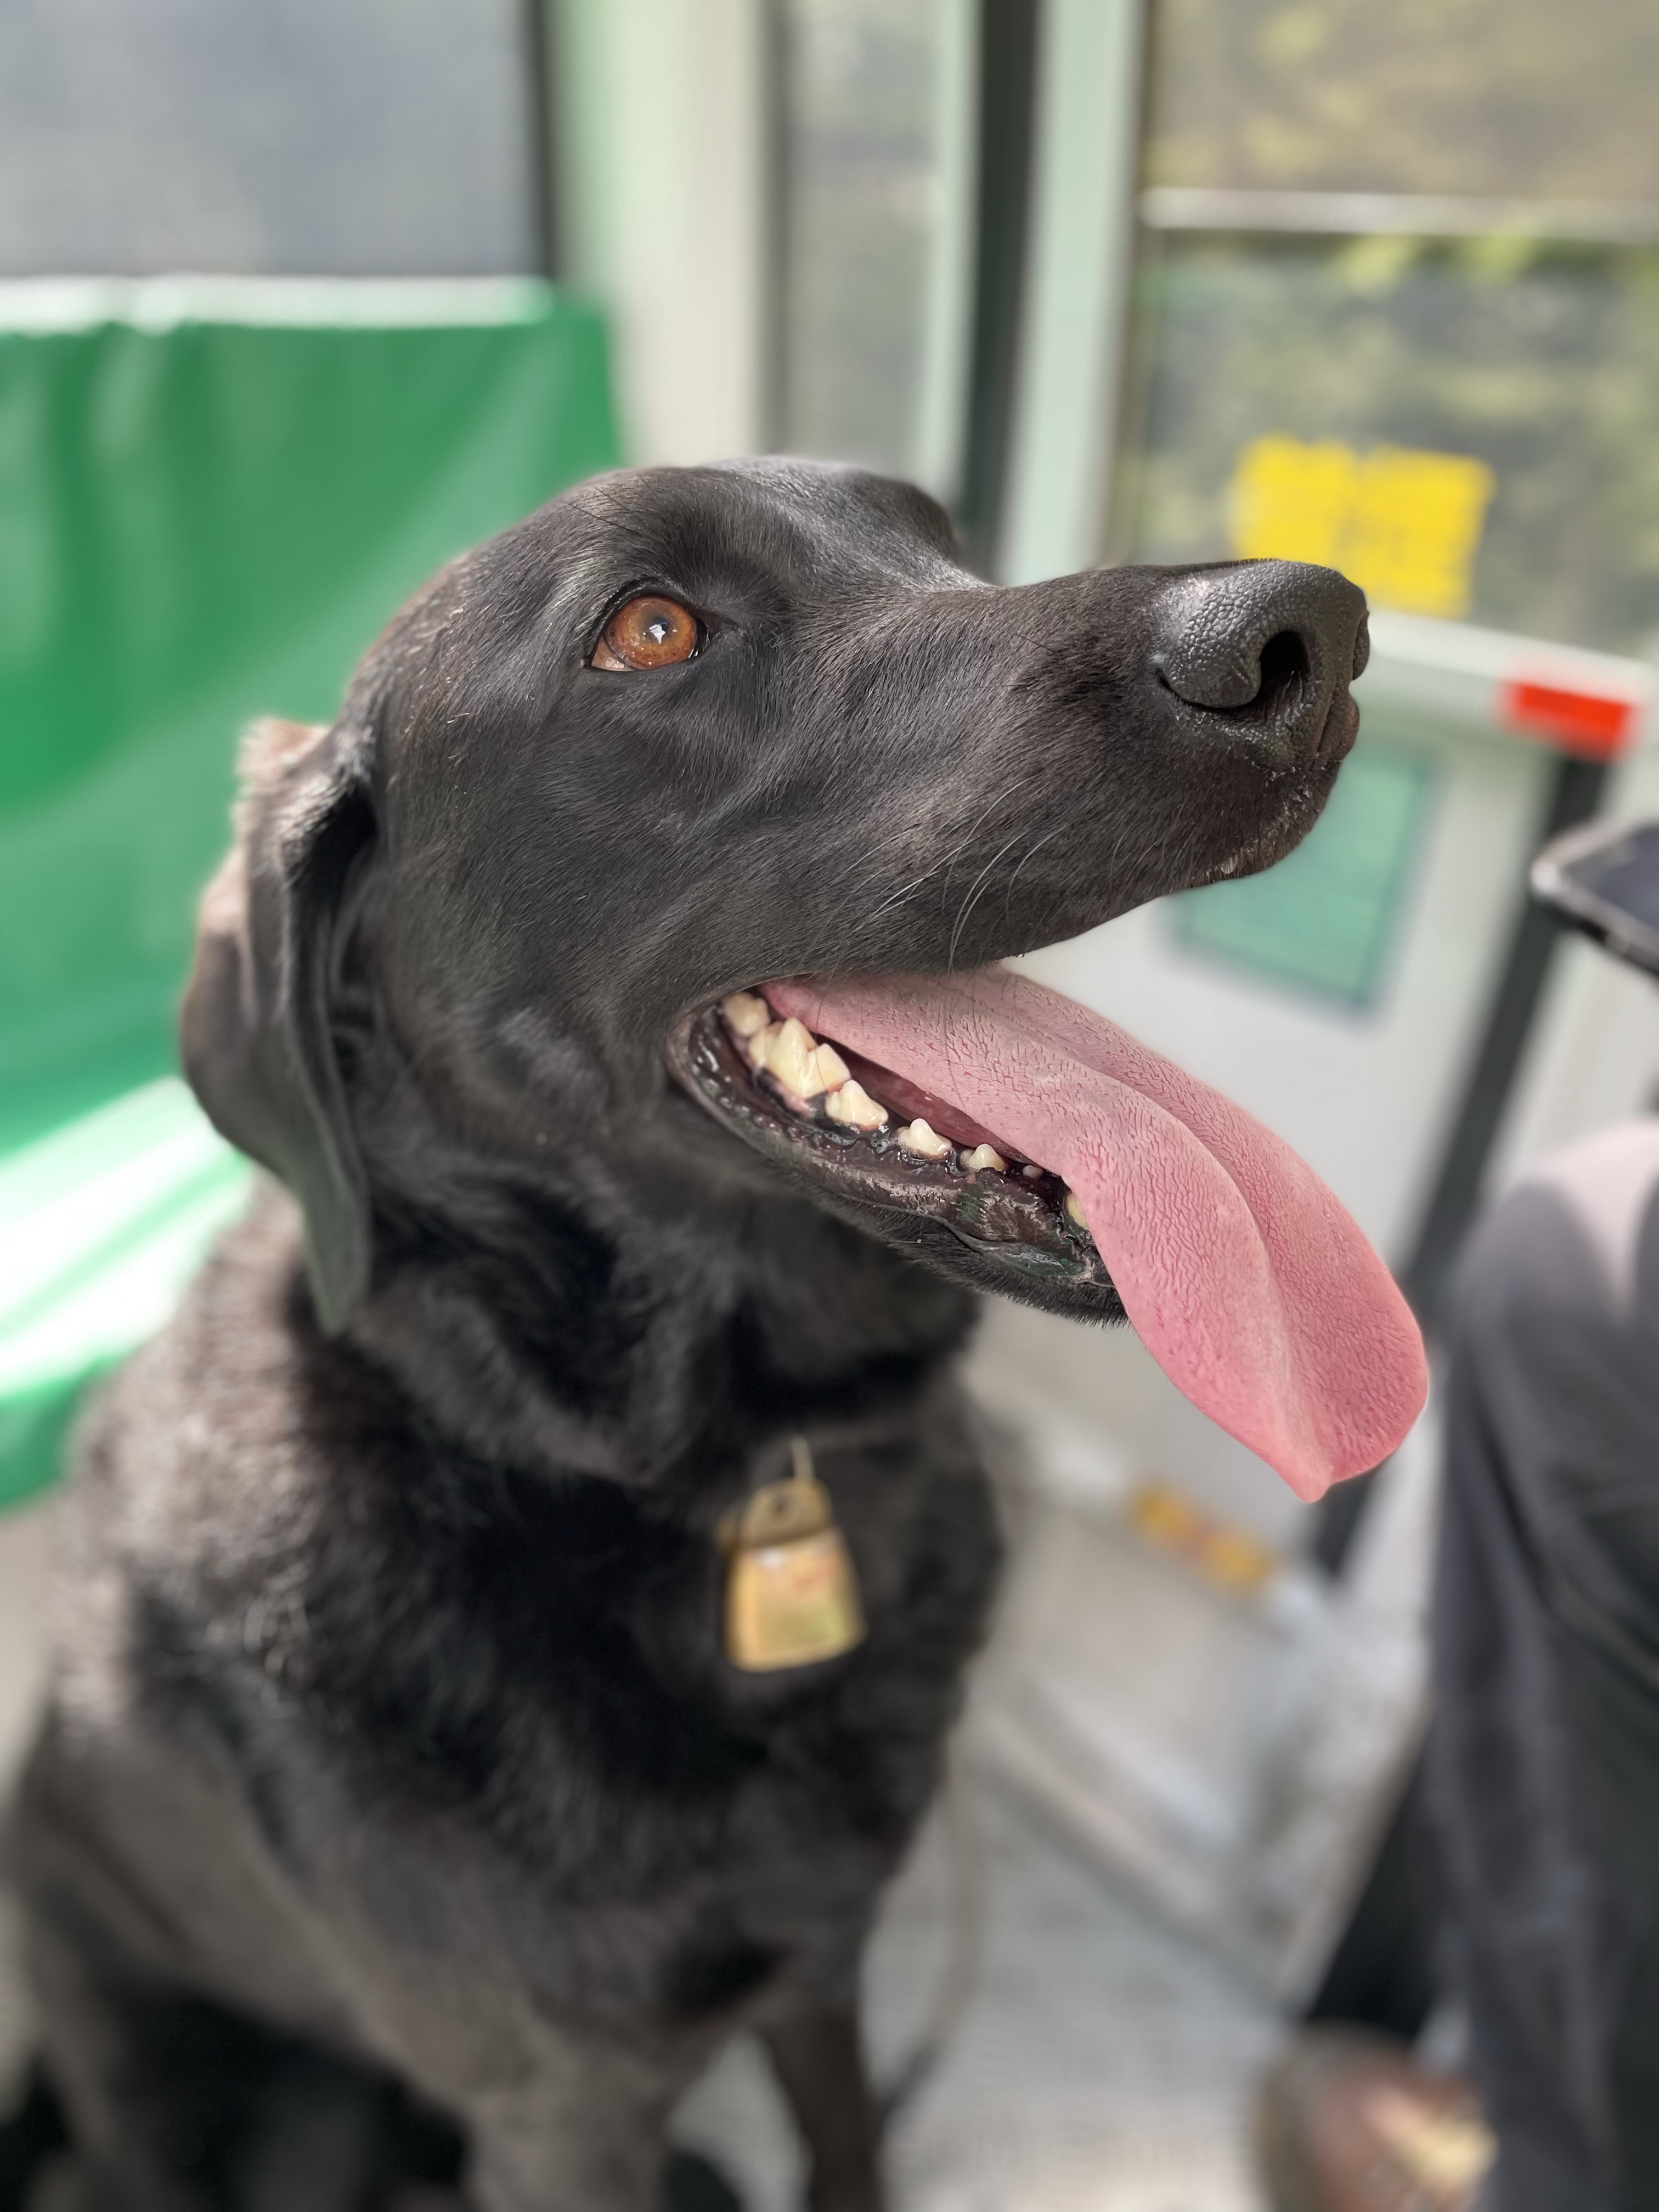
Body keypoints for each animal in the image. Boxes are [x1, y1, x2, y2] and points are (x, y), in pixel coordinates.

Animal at [8, 458, 1422, 2212]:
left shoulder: (822, 1957)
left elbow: (850, 2142)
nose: (1306, 634)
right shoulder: (565, 2106)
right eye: (651, 630)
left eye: (943, 542)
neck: (699, 1477)